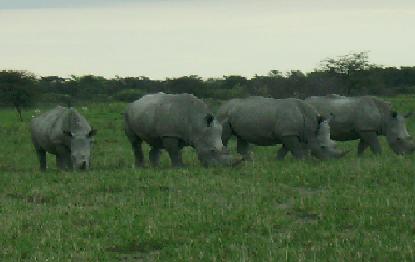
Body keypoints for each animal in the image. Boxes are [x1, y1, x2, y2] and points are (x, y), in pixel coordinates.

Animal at [216, 96, 346, 160]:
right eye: (323, 147)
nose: (330, 161)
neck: (311, 123)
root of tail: (222, 106)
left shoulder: (289, 133)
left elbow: (286, 149)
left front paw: (278, 161)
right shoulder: (288, 133)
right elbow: (296, 149)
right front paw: (302, 162)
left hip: (238, 114)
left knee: (242, 137)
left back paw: (249, 162)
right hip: (224, 115)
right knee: (224, 137)